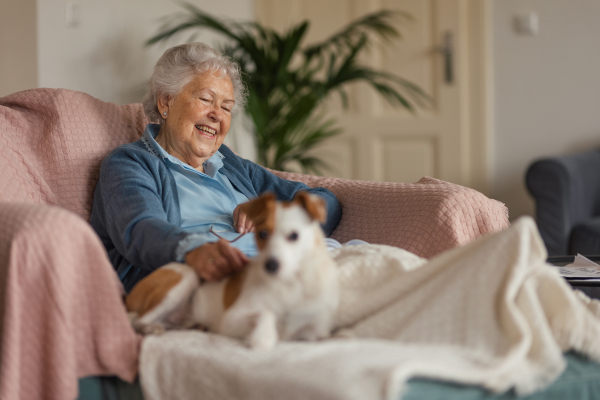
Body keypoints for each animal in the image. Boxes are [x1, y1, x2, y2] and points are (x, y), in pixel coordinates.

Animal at [124, 191, 340, 350]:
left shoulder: (314, 330)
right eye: (262, 234)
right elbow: (265, 313)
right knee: (137, 321)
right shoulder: (231, 319)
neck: (289, 283)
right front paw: (263, 337)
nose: (270, 265)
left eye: (294, 236)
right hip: (186, 279)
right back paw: (151, 328)